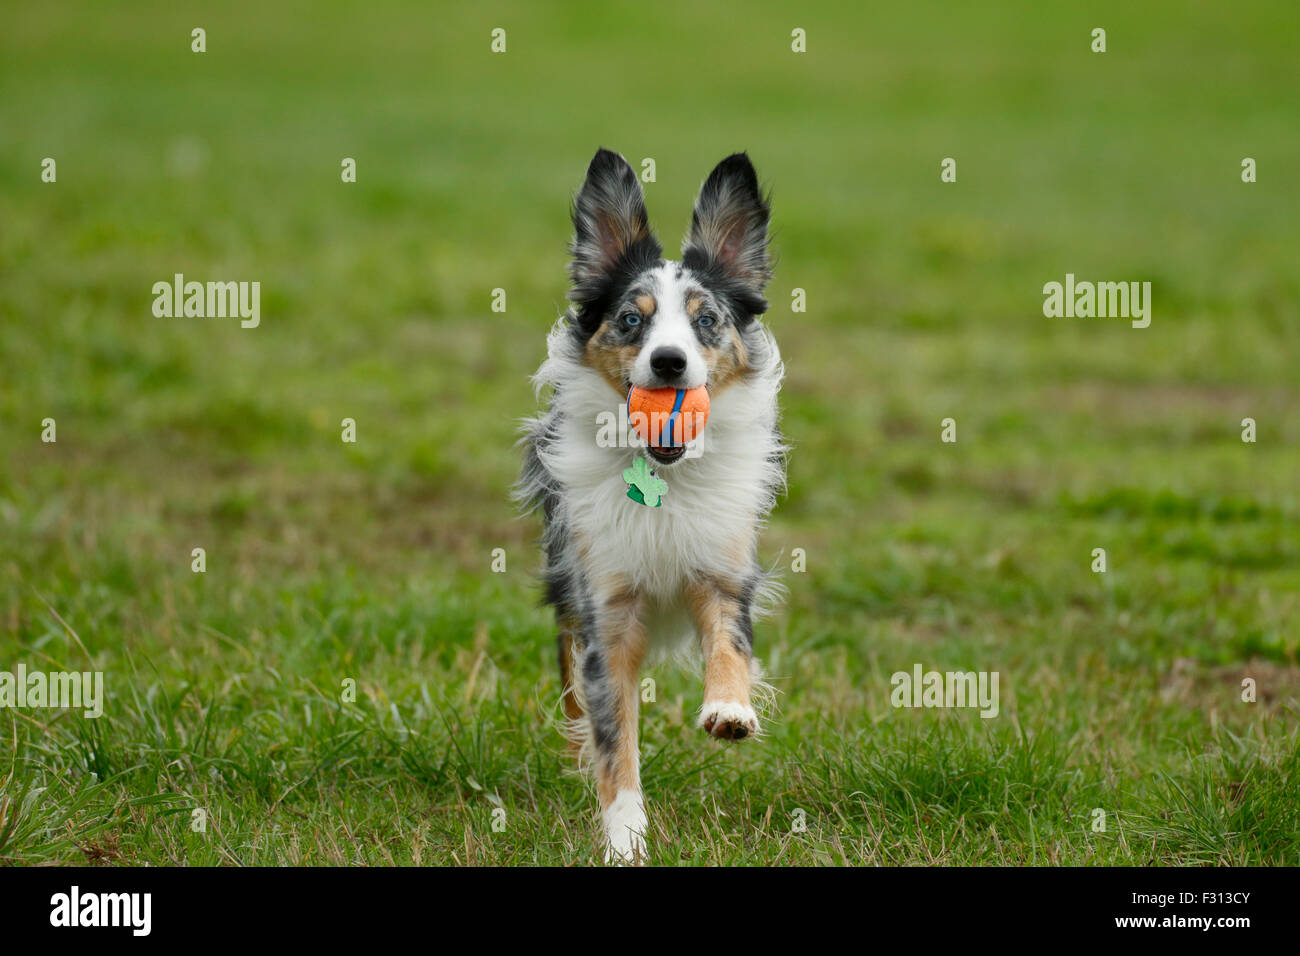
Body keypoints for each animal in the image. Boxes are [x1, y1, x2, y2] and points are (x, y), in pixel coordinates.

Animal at [514, 149, 780, 868]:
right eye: (633, 319)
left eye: (705, 320)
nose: (668, 362)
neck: (663, 472)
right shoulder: (606, 607)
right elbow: (615, 739)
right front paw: (625, 836)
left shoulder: (723, 572)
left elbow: (730, 646)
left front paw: (730, 711)